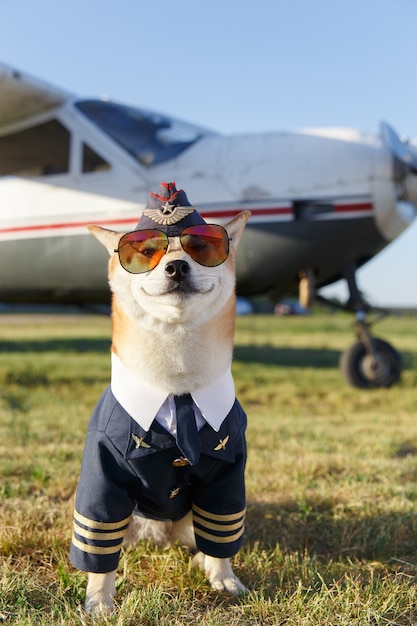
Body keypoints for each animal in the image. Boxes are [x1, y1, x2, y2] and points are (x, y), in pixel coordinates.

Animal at [69, 180, 250, 608]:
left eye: (201, 247)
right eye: (146, 252)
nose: (177, 267)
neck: (176, 387)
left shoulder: (228, 470)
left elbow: (223, 530)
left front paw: (223, 577)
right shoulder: (103, 471)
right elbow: (98, 541)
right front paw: (100, 599)